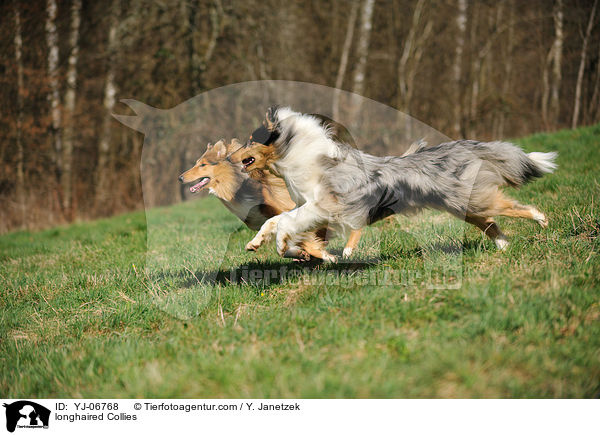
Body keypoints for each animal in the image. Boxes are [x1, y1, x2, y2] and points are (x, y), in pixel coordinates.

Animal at [238, 105, 556, 262]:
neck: (299, 152)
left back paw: (541, 220)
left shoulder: (322, 205)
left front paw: (281, 244)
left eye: (251, 140)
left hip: (473, 200)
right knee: (491, 223)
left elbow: (286, 221)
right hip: (464, 207)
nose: (232, 155)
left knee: (511, 207)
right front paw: (257, 243)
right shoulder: (314, 209)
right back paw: (503, 247)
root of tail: (464, 148)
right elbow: (275, 220)